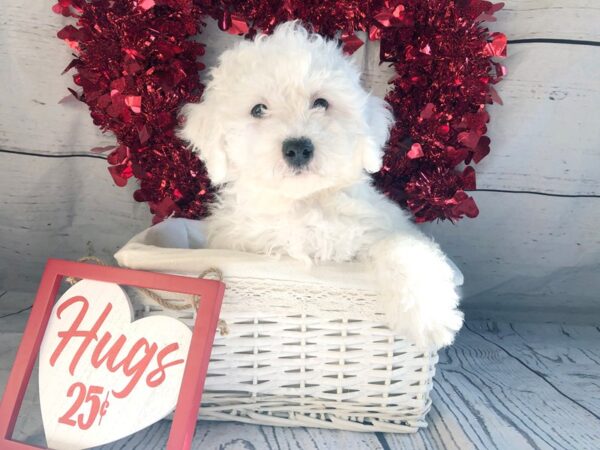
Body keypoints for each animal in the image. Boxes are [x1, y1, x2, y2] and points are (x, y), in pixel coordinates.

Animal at [180, 22, 462, 352]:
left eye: (321, 103)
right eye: (258, 109)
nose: (298, 148)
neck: (303, 205)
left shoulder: (376, 228)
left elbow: (400, 246)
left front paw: (429, 316)